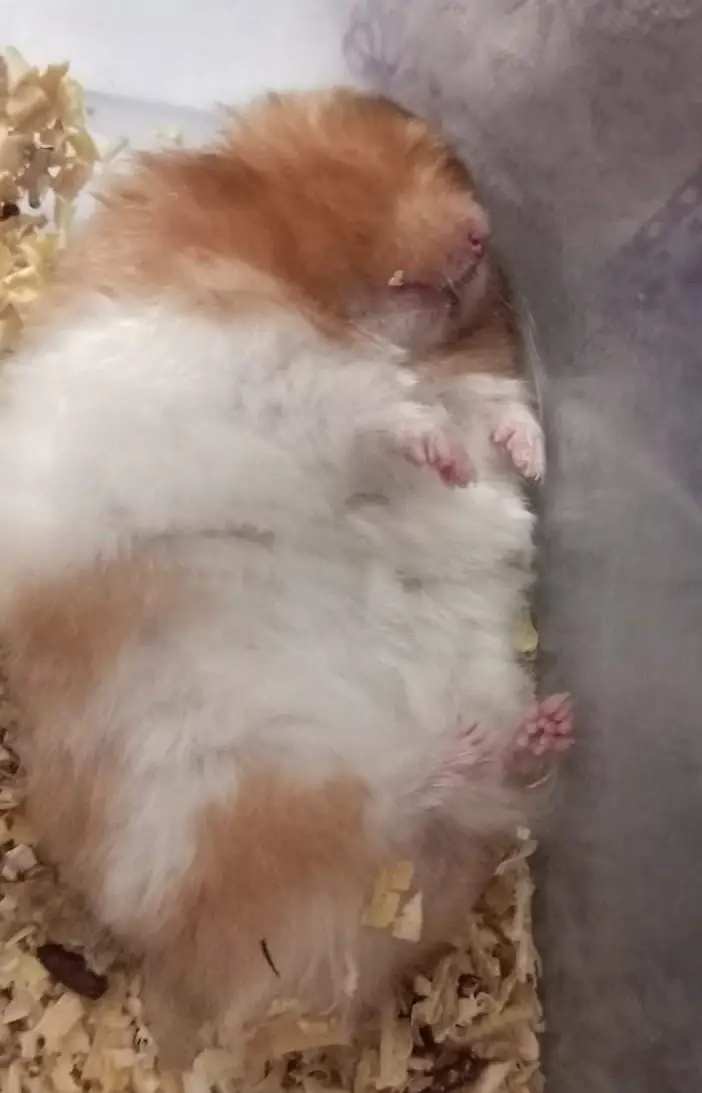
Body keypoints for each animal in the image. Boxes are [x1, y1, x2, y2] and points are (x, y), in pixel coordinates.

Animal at [0, 89, 570, 1064]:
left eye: (444, 157)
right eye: (385, 151)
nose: (482, 229)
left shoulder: (460, 372)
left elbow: (490, 410)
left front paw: (507, 461)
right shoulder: (245, 351)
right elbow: (362, 403)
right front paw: (439, 455)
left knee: (457, 804)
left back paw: (541, 729)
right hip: (245, 792)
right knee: (389, 804)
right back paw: (458, 751)